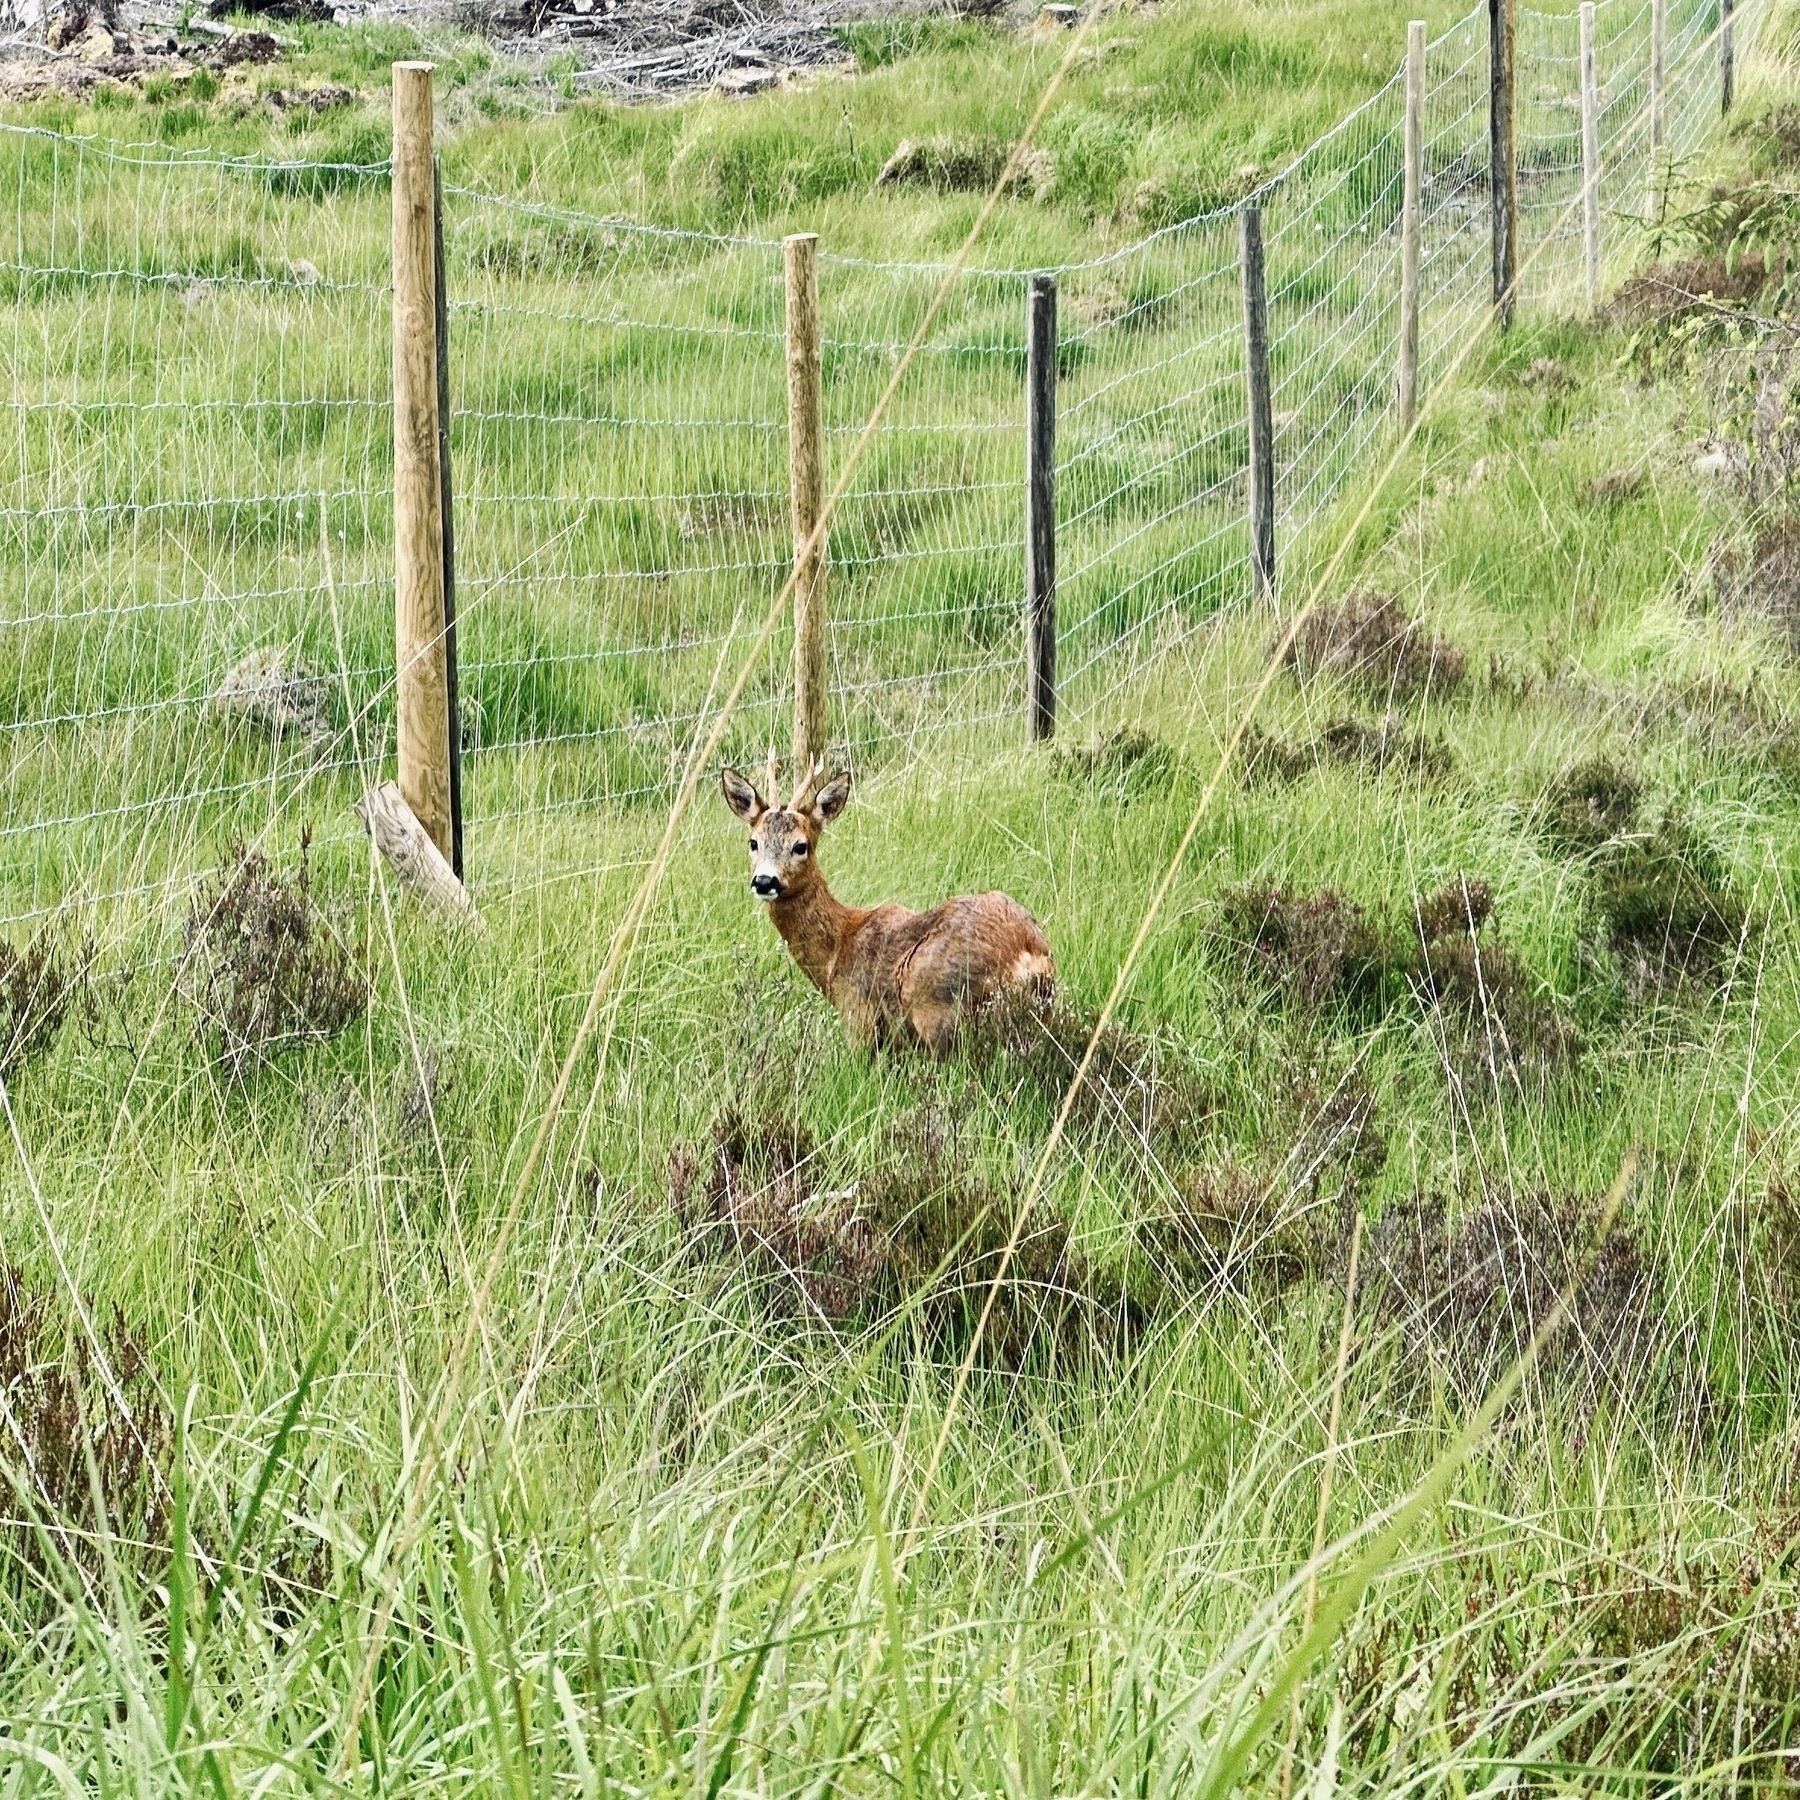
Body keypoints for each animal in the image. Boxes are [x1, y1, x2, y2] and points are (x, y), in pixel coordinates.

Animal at [720, 756, 1051, 1058]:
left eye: (801, 846)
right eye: (753, 842)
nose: (765, 881)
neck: (837, 951)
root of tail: (1026, 955)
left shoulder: (859, 1020)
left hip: (938, 1008)